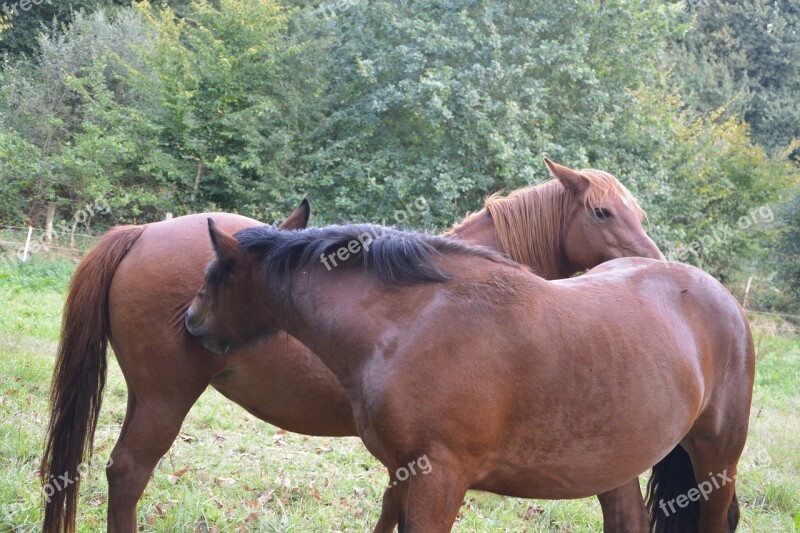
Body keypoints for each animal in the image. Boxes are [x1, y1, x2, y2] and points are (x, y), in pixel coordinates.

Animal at [39, 159, 664, 532]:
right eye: (603, 211)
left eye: (637, 211)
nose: (657, 264)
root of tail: (143, 232)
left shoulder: (413, 458)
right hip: (164, 400)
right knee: (127, 474)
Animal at [184, 220, 752, 532]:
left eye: (214, 276)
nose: (190, 321)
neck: (411, 323)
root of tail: (723, 299)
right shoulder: (404, 471)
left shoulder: (438, 478)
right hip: (615, 464)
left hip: (717, 461)